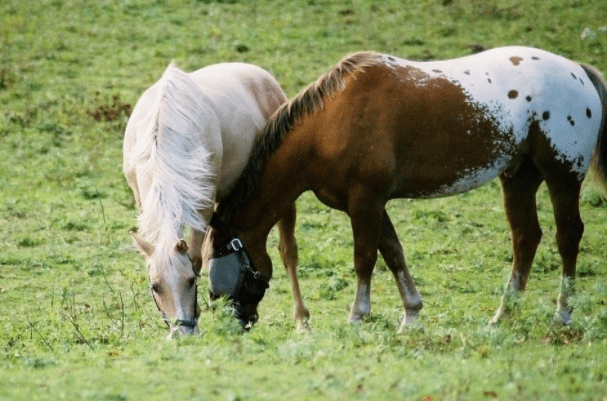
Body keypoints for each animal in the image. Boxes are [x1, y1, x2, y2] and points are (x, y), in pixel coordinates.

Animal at [122, 61, 302, 336]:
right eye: (155, 286)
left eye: (190, 281)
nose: (182, 333)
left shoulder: (203, 208)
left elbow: (196, 258)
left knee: (288, 251)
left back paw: (302, 320)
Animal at [210, 47, 607, 330]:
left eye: (226, 265)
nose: (236, 322)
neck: (332, 122)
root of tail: (578, 71)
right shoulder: (371, 203)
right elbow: (393, 253)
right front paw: (411, 315)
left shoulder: (365, 201)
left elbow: (365, 258)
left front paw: (358, 315)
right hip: (519, 177)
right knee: (526, 238)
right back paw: (502, 316)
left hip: (562, 175)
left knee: (567, 236)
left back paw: (562, 314)